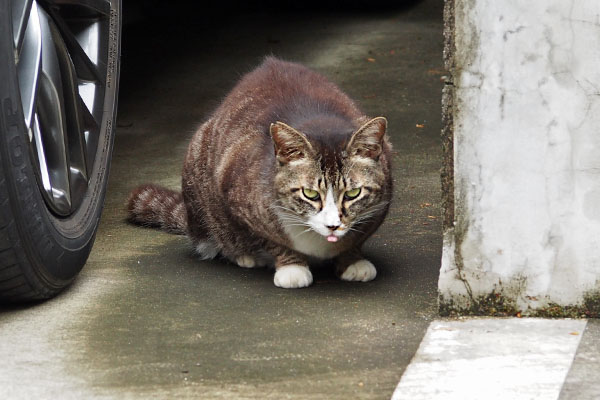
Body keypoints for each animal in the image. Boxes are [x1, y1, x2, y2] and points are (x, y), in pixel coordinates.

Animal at [126, 57, 394, 288]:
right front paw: (291, 267)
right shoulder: (239, 200)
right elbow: (272, 240)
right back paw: (244, 255)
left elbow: (358, 237)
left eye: (353, 194)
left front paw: (353, 261)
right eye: (310, 194)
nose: (332, 226)